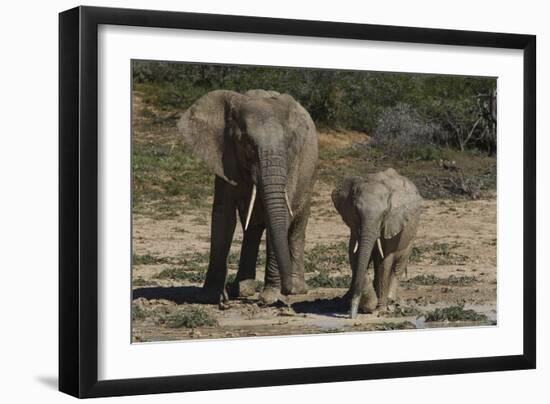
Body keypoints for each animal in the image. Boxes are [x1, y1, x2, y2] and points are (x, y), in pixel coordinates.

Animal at [178, 87, 320, 304]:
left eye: (289, 145)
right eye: (248, 145)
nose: (285, 292)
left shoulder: (292, 162)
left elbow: (282, 216)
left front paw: (270, 298)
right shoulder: (224, 156)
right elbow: (223, 217)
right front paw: (210, 296)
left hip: (310, 173)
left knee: (297, 222)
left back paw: (296, 289)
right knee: (252, 226)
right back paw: (243, 289)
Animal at [332, 169, 422, 318]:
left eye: (384, 214)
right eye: (356, 211)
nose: (352, 315)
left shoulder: (392, 223)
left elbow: (385, 261)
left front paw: (379, 309)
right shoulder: (354, 225)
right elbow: (354, 255)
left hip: (411, 235)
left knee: (398, 265)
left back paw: (391, 301)